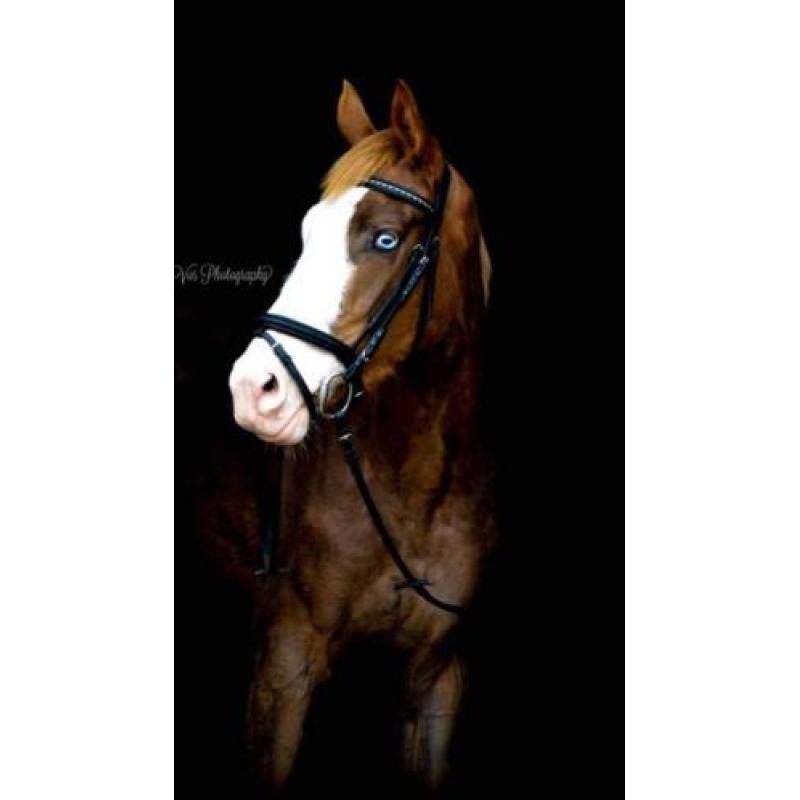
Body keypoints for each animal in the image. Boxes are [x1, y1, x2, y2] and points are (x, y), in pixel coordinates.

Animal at [228, 79, 497, 793]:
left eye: (383, 238)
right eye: (307, 234)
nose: (253, 389)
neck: (413, 485)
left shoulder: (436, 677)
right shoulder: (282, 672)